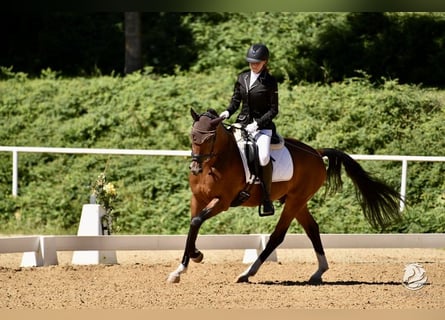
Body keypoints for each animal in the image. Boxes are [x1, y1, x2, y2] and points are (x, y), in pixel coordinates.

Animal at [166, 109, 402, 284]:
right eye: (192, 136)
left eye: (211, 138)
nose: (195, 167)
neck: (217, 162)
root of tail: (316, 153)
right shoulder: (198, 199)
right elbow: (192, 226)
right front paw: (183, 266)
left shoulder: (222, 202)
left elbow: (196, 222)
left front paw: (192, 259)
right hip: (297, 201)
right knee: (312, 229)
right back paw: (319, 272)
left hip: (296, 201)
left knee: (277, 236)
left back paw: (247, 274)